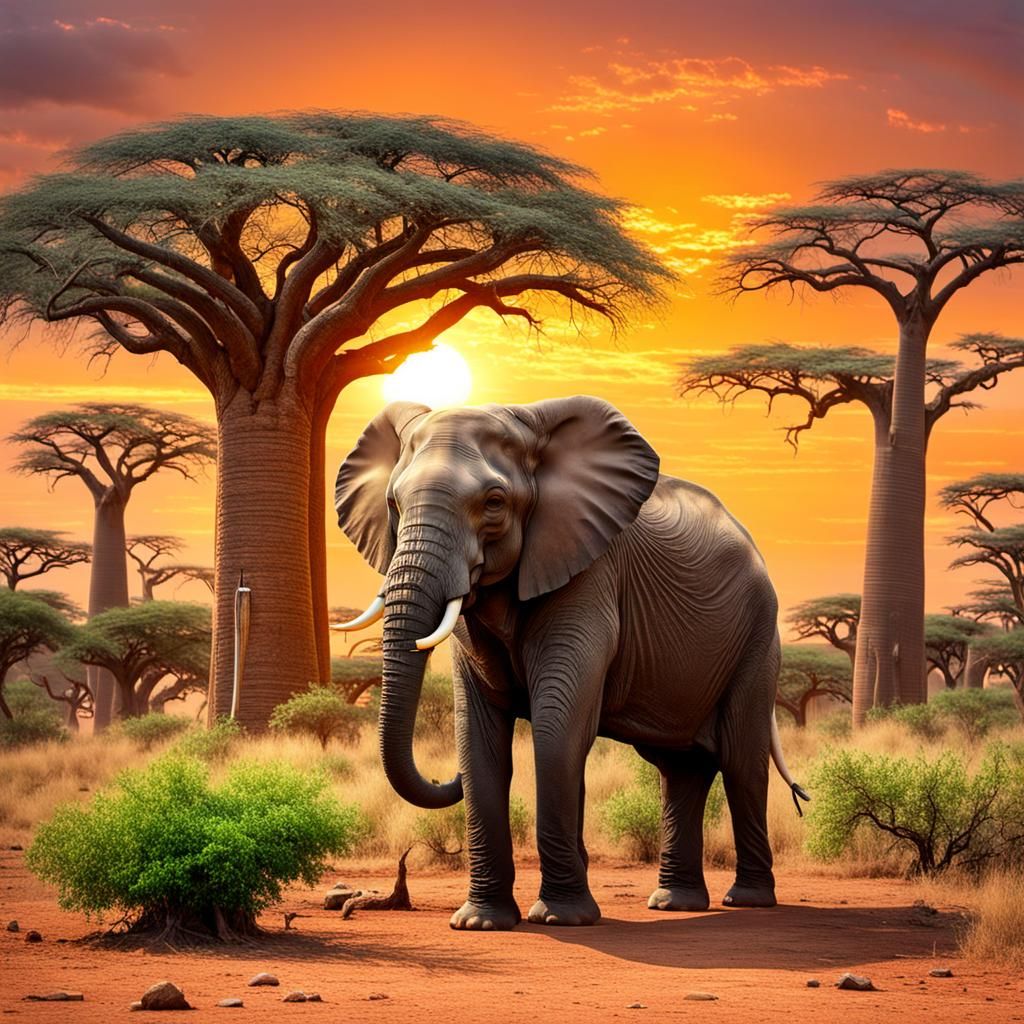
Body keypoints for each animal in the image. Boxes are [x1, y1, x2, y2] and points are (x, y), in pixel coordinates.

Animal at [334, 396, 807, 931]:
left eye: (494, 503)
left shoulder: (590, 575)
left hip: (758, 635)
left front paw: (561, 919)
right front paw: (480, 922)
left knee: (741, 761)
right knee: (680, 769)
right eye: (393, 504)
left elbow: (558, 729)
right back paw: (675, 903)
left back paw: (747, 901)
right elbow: (478, 735)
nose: (442, 777)